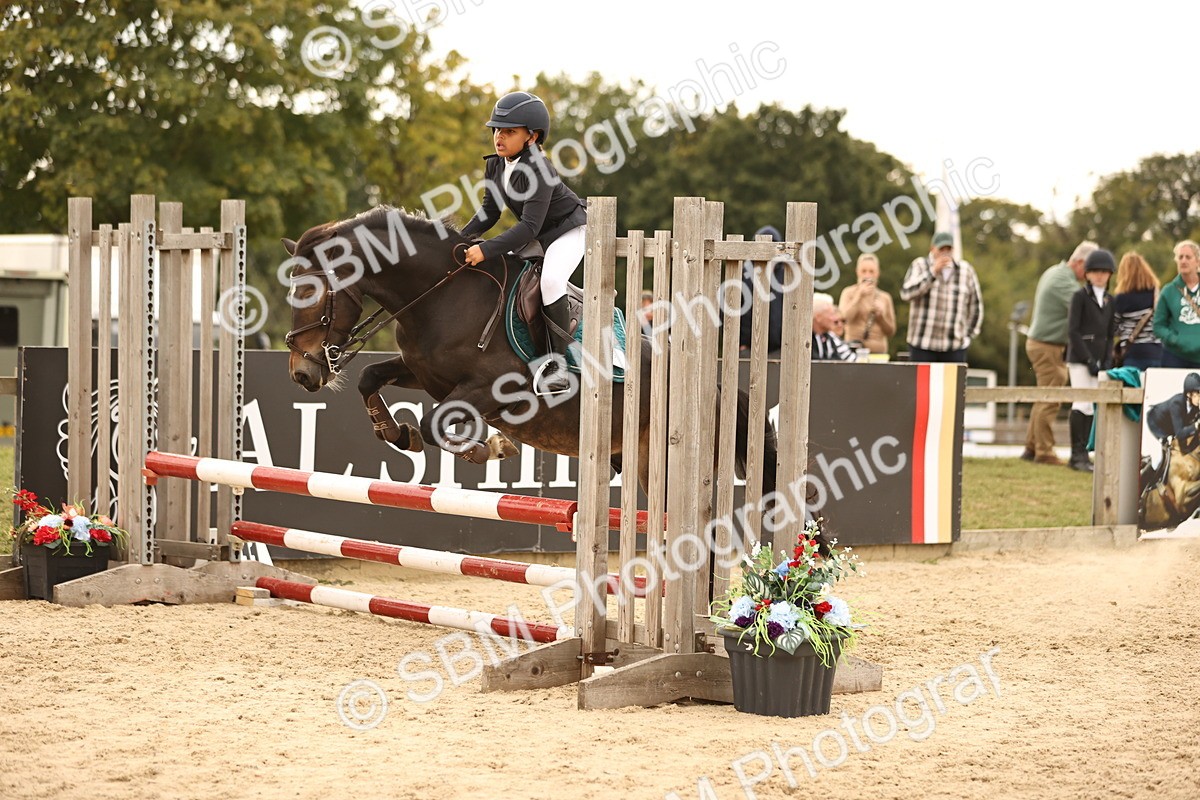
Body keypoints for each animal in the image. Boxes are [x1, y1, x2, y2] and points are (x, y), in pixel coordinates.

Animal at [281, 206, 776, 498]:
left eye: (309, 291)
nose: (302, 374)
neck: (441, 295)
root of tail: (714, 389)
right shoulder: (422, 372)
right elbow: (372, 379)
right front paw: (394, 433)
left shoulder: (494, 390)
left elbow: (434, 422)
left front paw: (490, 448)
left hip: (663, 466)